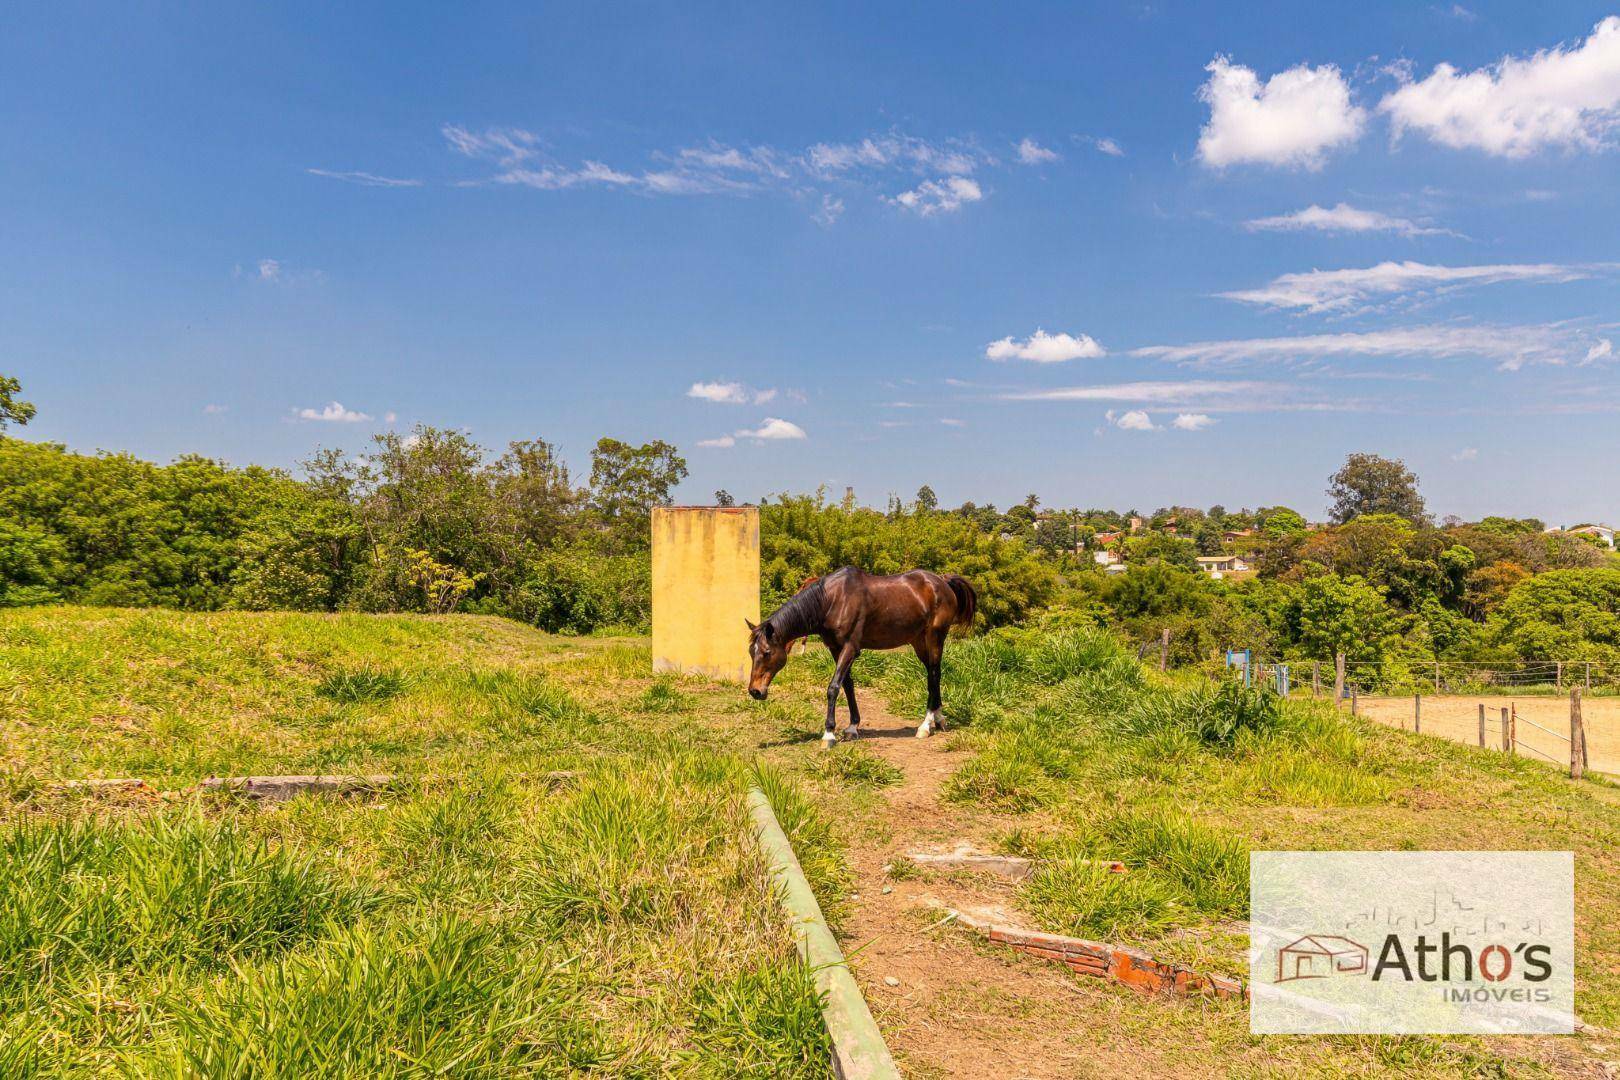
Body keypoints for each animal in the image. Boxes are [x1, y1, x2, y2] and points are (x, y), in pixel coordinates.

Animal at [741, 569, 972, 748]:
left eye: (766, 652)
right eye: (751, 652)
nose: (755, 691)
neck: (832, 601)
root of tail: (942, 581)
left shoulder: (850, 648)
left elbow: (833, 687)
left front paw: (829, 734)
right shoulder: (836, 649)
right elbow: (848, 685)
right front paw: (852, 727)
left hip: (935, 637)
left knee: (933, 674)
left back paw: (925, 725)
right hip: (918, 642)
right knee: (935, 674)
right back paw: (939, 719)